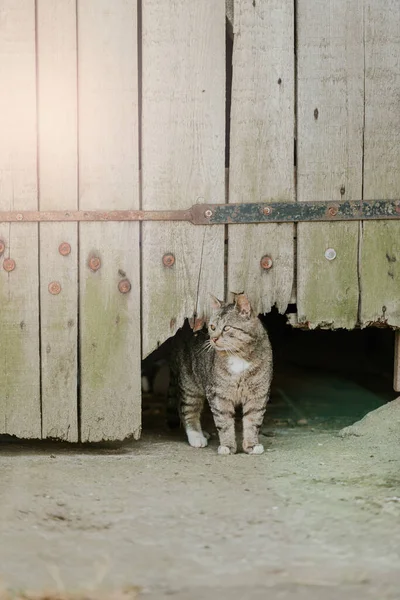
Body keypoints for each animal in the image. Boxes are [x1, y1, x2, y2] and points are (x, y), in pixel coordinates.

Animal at [167, 294, 274, 454]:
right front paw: (227, 446)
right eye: (212, 327)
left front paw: (251, 445)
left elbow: (253, 420)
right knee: (186, 409)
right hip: (189, 384)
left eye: (227, 328)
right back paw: (196, 436)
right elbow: (224, 421)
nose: (213, 338)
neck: (239, 355)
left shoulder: (258, 394)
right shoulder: (219, 393)